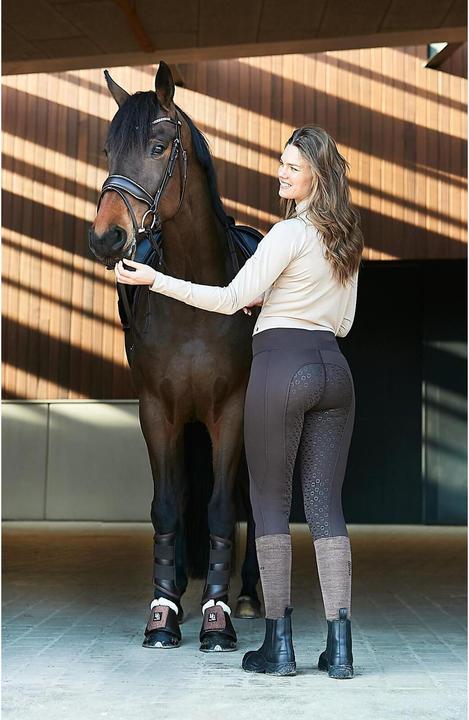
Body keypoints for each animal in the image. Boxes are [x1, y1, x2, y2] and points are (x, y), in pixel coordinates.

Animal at [88, 61, 262, 652]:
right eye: (108, 149)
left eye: (160, 145)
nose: (107, 238)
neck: (195, 298)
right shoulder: (157, 411)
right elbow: (167, 504)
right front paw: (164, 612)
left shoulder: (232, 410)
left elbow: (222, 508)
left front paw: (218, 618)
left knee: (250, 500)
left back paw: (250, 595)